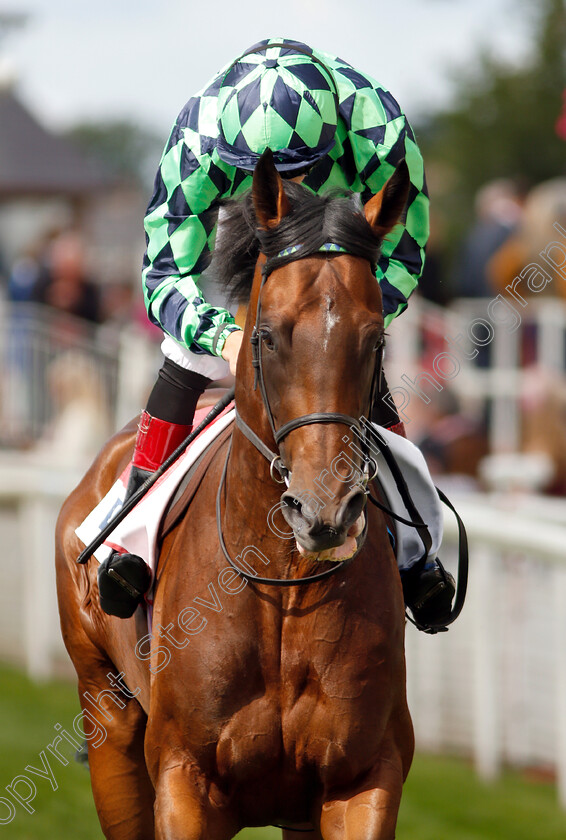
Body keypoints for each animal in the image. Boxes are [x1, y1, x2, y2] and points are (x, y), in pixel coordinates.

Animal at [55, 151, 414, 840]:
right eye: (267, 335)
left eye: (377, 338)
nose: (324, 512)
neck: (283, 585)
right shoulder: (185, 780)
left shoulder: (362, 778)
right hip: (107, 721)